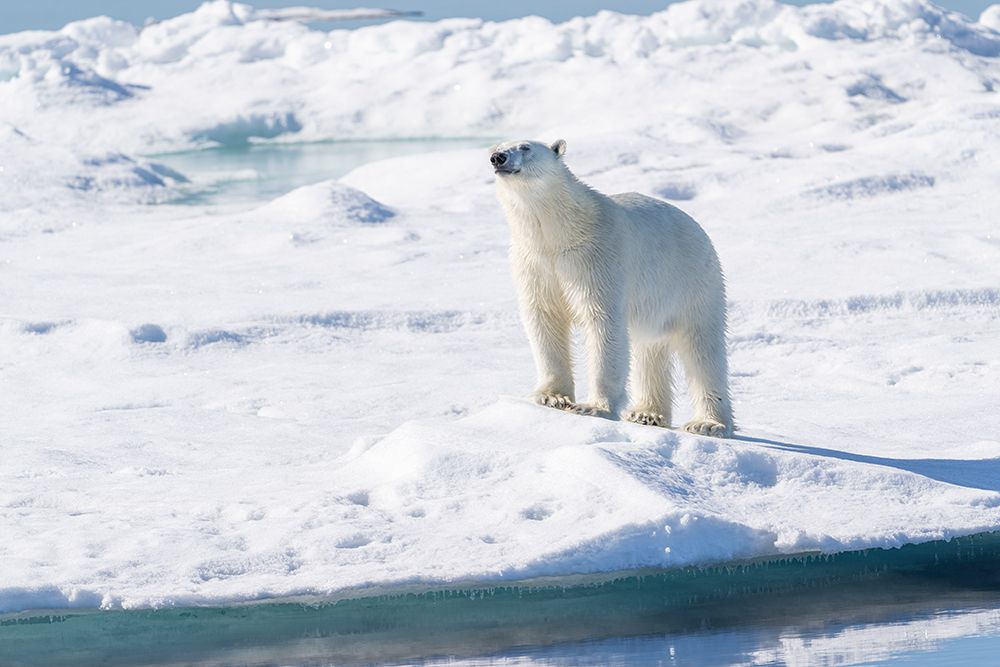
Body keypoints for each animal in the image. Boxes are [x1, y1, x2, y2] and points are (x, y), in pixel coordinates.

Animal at [491, 139, 733, 437]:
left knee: (702, 350)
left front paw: (594, 407)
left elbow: (602, 322)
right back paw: (646, 413)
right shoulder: (535, 262)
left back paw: (708, 423)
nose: (498, 157)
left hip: (694, 284)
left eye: (525, 147)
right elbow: (545, 318)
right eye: (497, 146)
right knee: (650, 348)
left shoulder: (597, 258)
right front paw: (552, 397)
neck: (559, 234)